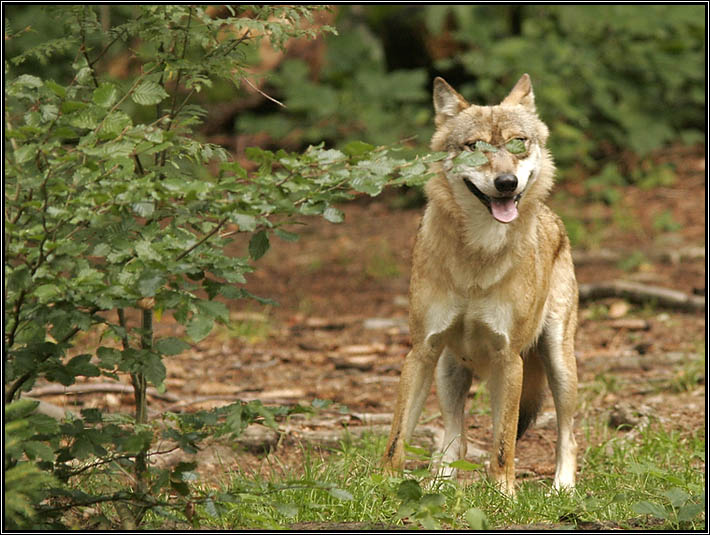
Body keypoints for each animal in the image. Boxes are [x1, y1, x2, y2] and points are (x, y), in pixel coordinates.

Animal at [384, 73, 580, 496]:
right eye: (475, 147)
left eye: (518, 143)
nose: (506, 183)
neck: (478, 257)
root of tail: (554, 220)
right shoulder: (421, 352)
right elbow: (397, 436)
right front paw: (382, 485)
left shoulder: (509, 358)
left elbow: (504, 445)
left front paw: (504, 495)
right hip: (449, 371)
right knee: (454, 438)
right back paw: (437, 485)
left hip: (557, 364)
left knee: (566, 433)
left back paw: (562, 488)